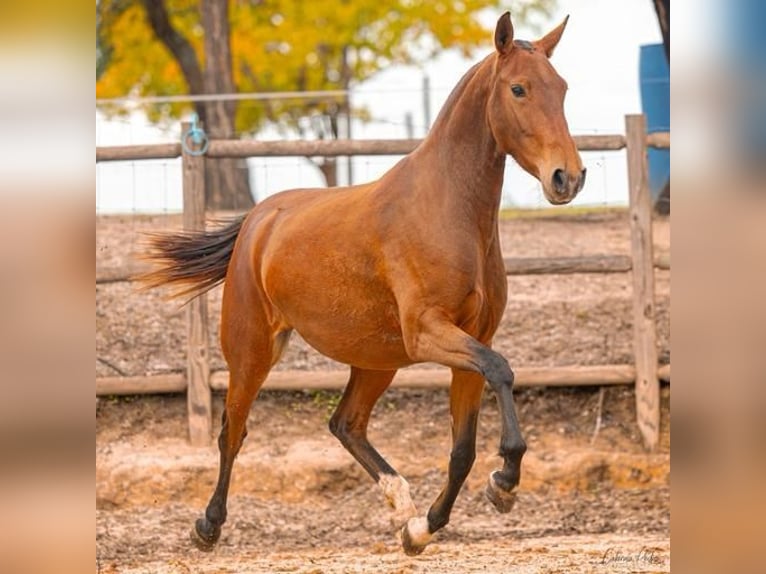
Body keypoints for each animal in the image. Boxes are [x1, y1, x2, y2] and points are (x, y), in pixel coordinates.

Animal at [144, 12, 584, 560]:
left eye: (562, 88)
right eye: (518, 89)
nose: (569, 178)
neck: (448, 209)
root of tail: (259, 219)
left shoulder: (471, 339)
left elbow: (462, 448)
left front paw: (423, 529)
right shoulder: (428, 333)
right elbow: (502, 371)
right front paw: (503, 482)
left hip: (376, 359)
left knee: (345, 423)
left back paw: (402, 505)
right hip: (253, 350)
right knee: (234, 430)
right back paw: (208, 526)